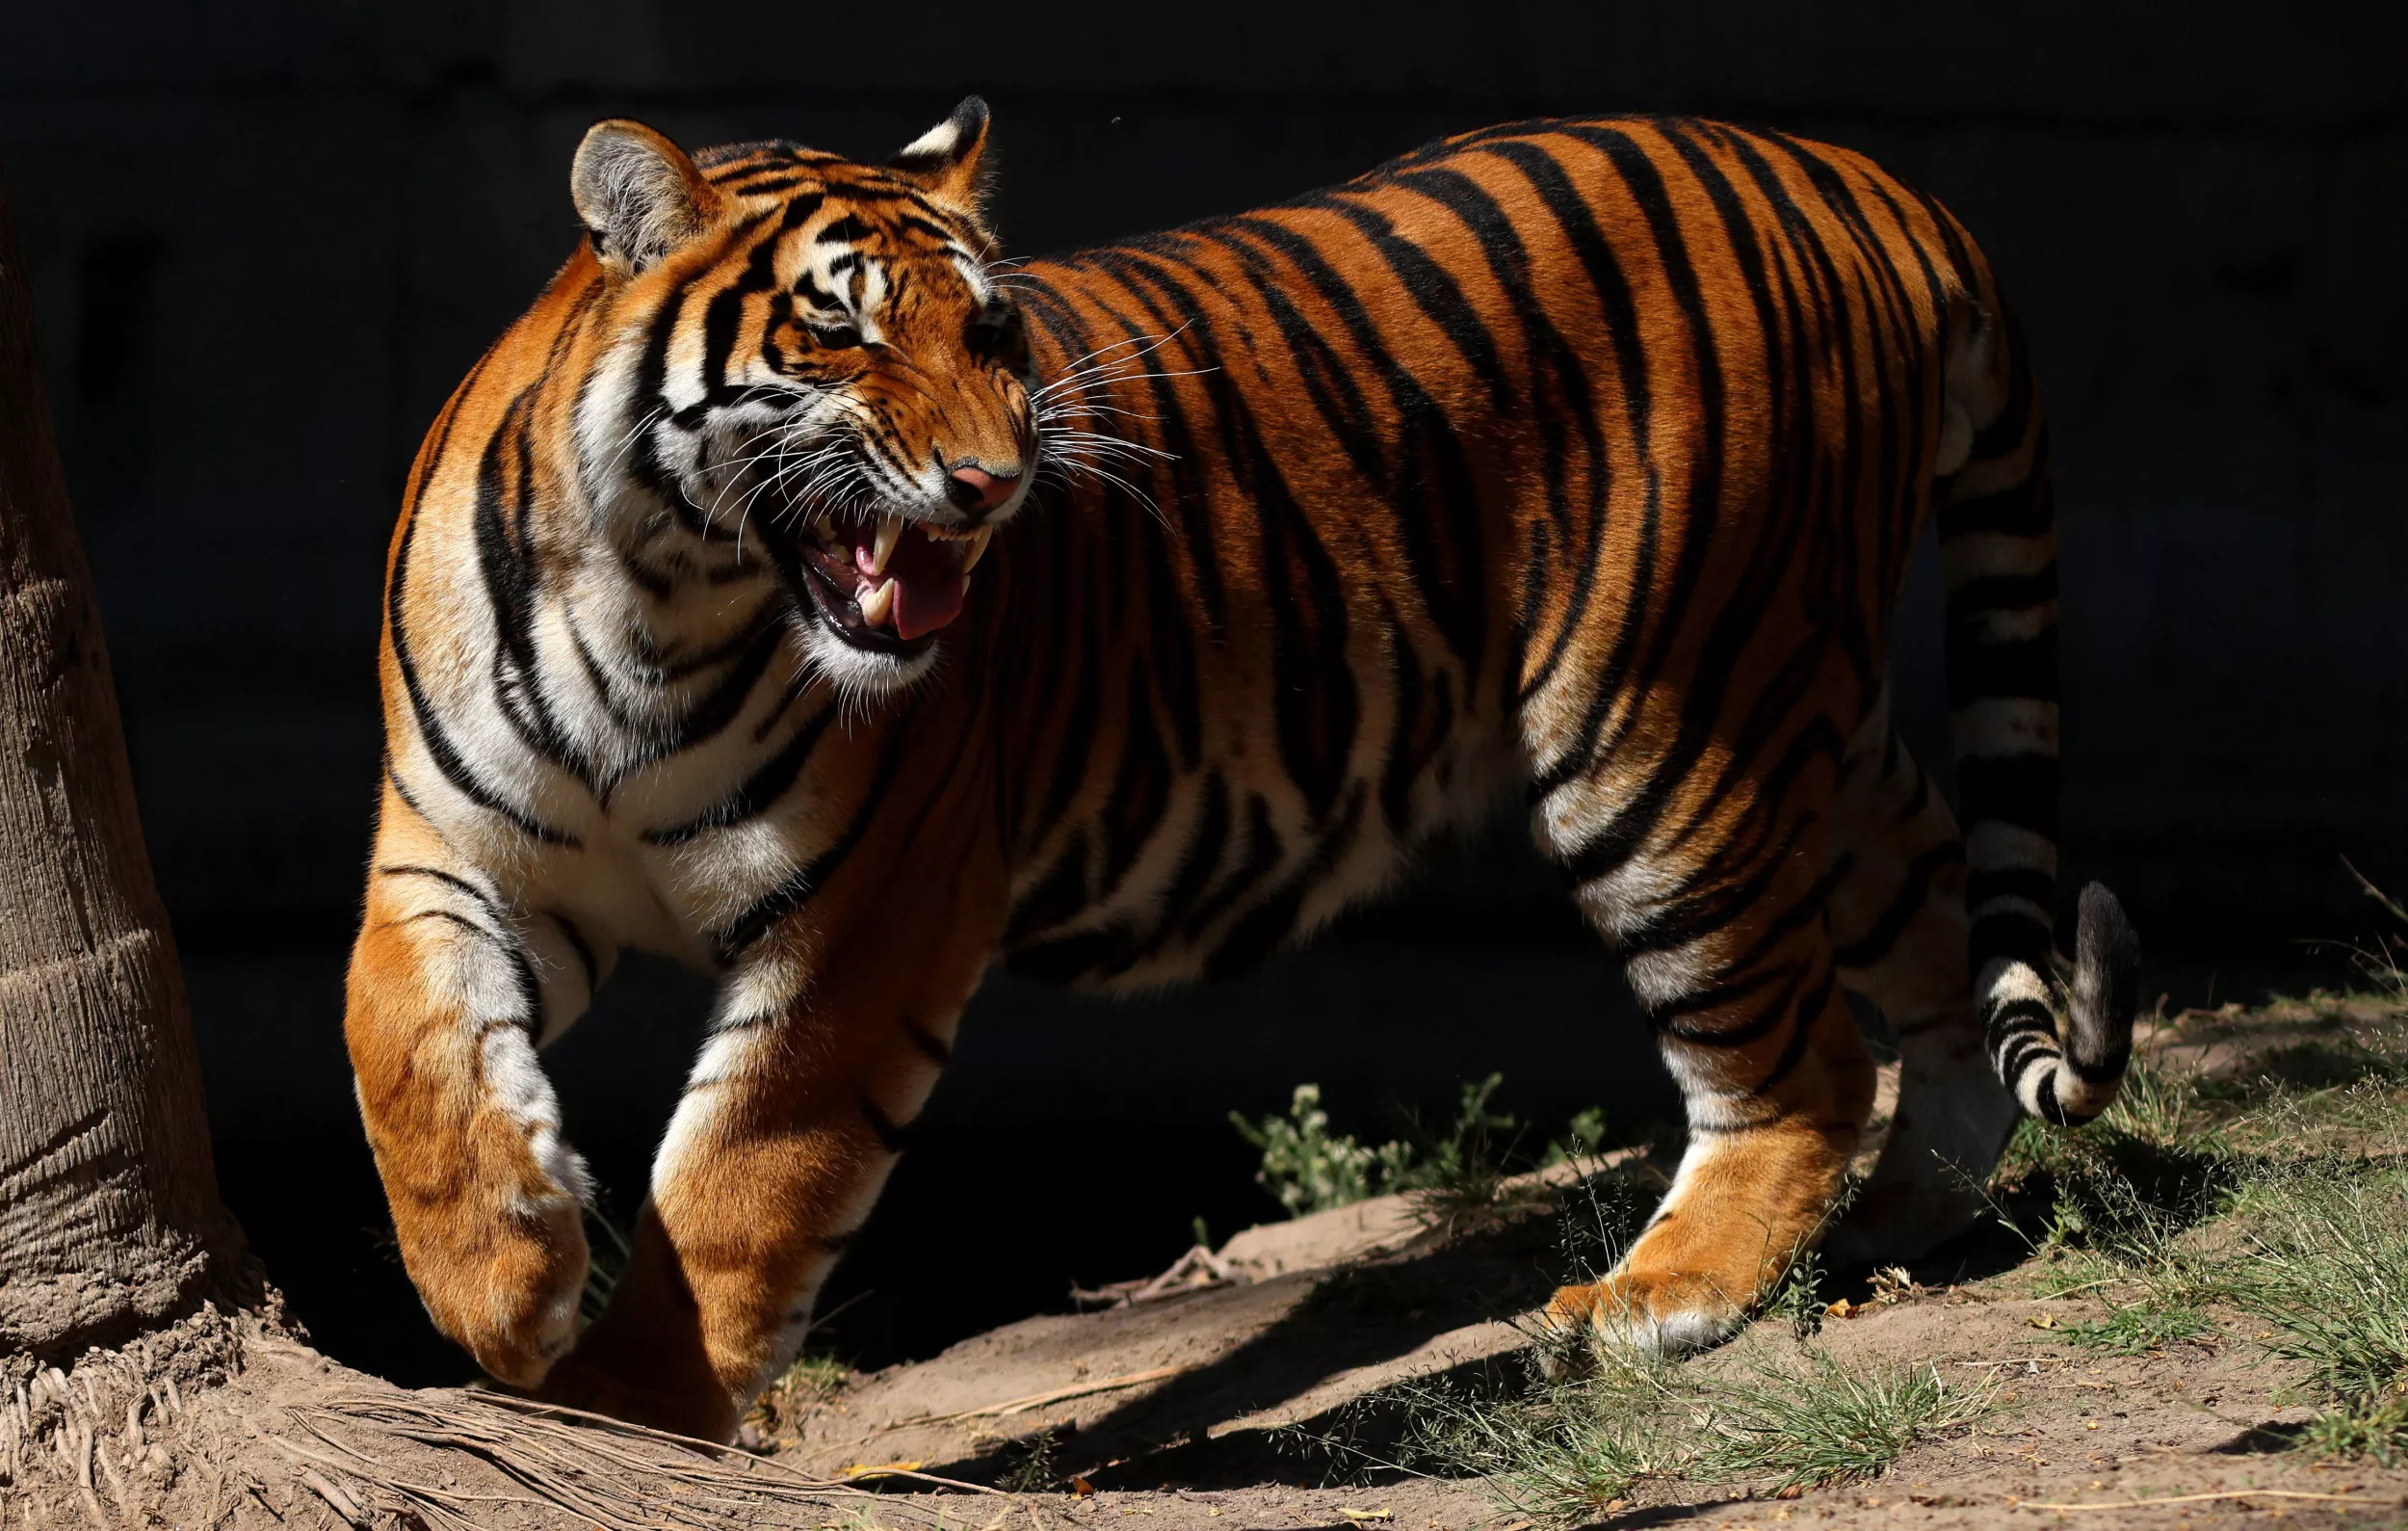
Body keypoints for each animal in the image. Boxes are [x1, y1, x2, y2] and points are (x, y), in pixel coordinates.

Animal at [344, 98, 2140, 1442]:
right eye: (837, 326)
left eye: (990, 329)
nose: (994, 485)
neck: (657, 607)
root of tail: (1865, 175)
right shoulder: (451, 841)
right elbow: (404, 1047)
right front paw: (503, 1285)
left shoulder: (868, 916)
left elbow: (737, 1177)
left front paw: (628, 1402)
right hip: (1799, 705)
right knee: (1937, 940)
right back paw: (1900, 1220)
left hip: (1667, 722)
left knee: (1800, 1057)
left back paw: (1657, 1299)